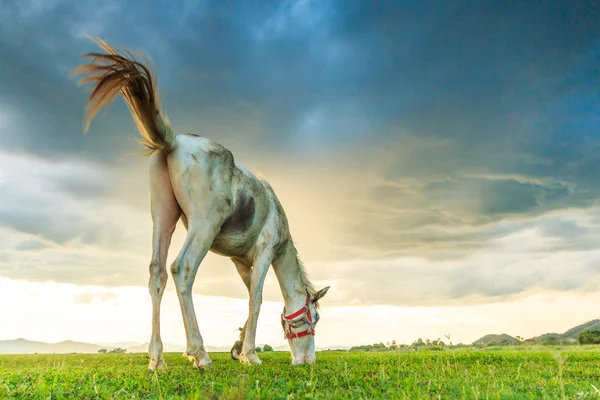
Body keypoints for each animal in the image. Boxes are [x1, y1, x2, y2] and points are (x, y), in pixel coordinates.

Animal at [74, 37, 332, 368]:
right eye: (315, 318)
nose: (308, 359)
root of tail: (173, 142)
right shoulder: (264, 252)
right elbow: (257, 299)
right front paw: (250, 355)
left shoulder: (242, 262)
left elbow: (248, 298)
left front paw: (239, 348)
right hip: (203, 225)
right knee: (182, 270)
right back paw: (199, 353)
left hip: (163, 216)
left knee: (157, 273)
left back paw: (157, 358)